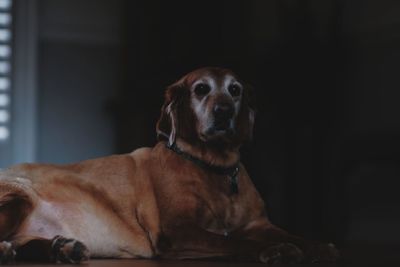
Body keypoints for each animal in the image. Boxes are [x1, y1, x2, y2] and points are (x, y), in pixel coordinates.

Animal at [0, 68, 340, 264]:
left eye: (235, 90)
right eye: (201, 89)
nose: (223, 112)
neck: (212, 168)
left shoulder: (259, 223)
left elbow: (290, 234)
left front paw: (318, 246)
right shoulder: (176, 231)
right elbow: (232, 240)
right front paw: (277, 251)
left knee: (24, 245)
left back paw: (62, 248)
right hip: (20, 193)